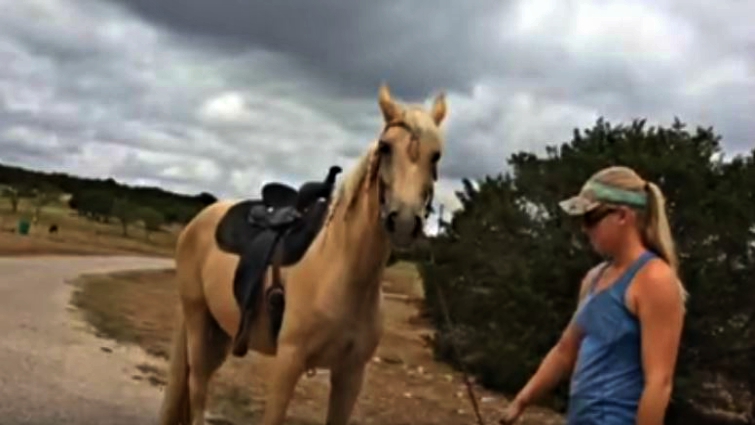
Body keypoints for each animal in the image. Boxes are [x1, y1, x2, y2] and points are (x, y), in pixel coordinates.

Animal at [157, 83, 448, 425]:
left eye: (436, 155)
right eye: (385, 147)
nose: (402, 221)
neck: (340, 272)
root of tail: (198, 221)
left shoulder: (350, 375)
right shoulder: (288, 362)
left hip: (220, 331)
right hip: (198, 320)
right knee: (198, 386)